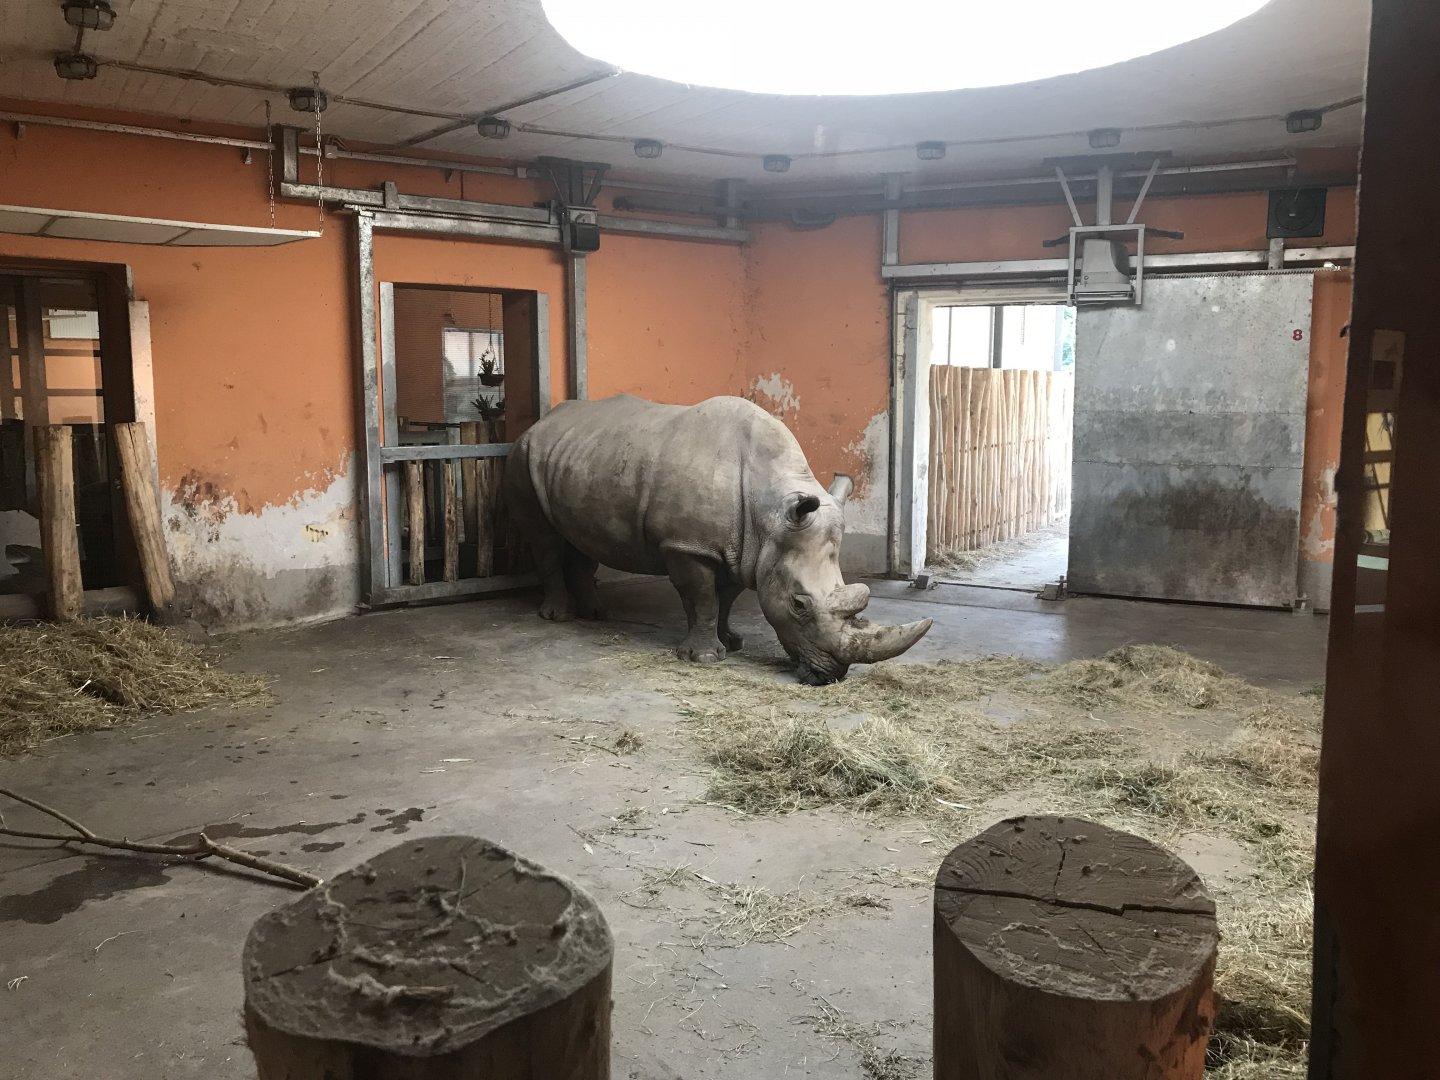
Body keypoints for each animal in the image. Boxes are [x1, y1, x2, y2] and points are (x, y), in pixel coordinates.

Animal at [504, 394, 932, 684]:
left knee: (580, 537)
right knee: (543, 535)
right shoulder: (687, 545)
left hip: (579, 456)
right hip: (523, 455)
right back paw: (558, 616)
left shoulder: (743, 550)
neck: (769, 510)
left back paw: (596, 614)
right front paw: (706, 659)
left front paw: (733, 641)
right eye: (798, 605)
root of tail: (543, 420)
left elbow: (725, 598)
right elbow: (703, 598)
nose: (831, 675)